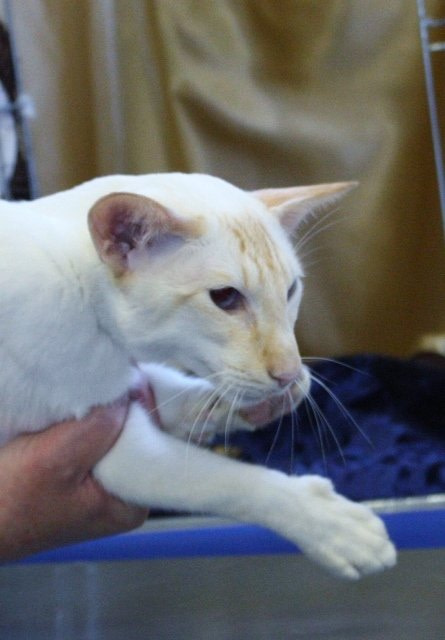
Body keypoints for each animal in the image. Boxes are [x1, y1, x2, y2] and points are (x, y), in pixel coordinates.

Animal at [0, 172, 396, 579]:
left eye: (291, 290)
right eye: (224, 298)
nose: (288, 373)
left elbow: (169, 389)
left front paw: (240, 405)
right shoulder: (111, 450)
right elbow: (222, 481)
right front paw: (331, 525)